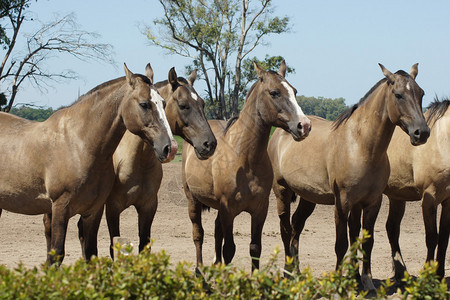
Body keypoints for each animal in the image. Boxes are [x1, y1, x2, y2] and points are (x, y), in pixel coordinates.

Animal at [0, 62, 176, 262]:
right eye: (144, 104)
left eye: (163, 103)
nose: (170, 148)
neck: (79, 145)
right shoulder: (60, 207)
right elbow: (56, 253)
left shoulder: (93, 211)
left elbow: (91, 252)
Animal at [103, 67, 216, 256]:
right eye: (183, 105)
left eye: (202, 104)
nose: (210, 144)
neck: (135, 160)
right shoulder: (112, 208)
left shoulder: (148, 207)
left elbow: (144, 247)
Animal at [181, 59, 312, 270]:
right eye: (274, 92)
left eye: (294, 91)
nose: (304, 125)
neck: (245, 159)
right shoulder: (228, 210)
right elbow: (229, 249)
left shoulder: (259, 210)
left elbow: (255, 248)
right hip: (192, 200)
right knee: (198, 235)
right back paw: (199, 270)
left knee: (216, 232)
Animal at [268, 63, 430, 290]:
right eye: (398, 95)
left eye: (421, 93)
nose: (421, 133)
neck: (360, 146)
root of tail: (282, 132)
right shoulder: (342, 203)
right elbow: (342, 243)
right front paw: (339, 282)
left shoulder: (371, 202)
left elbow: (364, 241)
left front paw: (364, 280)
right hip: (281, 191)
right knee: (285, 229)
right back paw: (288, 273)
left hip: (309, 197)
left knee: (296, 226)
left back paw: (297, 272)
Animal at [384, 99, 450, 280]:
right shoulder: (429, 199)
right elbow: (432, 237)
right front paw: (429, 275)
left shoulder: (448, 201)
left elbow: (444, 238)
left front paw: (439, 274)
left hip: (397, 197)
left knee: (392, 228)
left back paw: (401, 272)